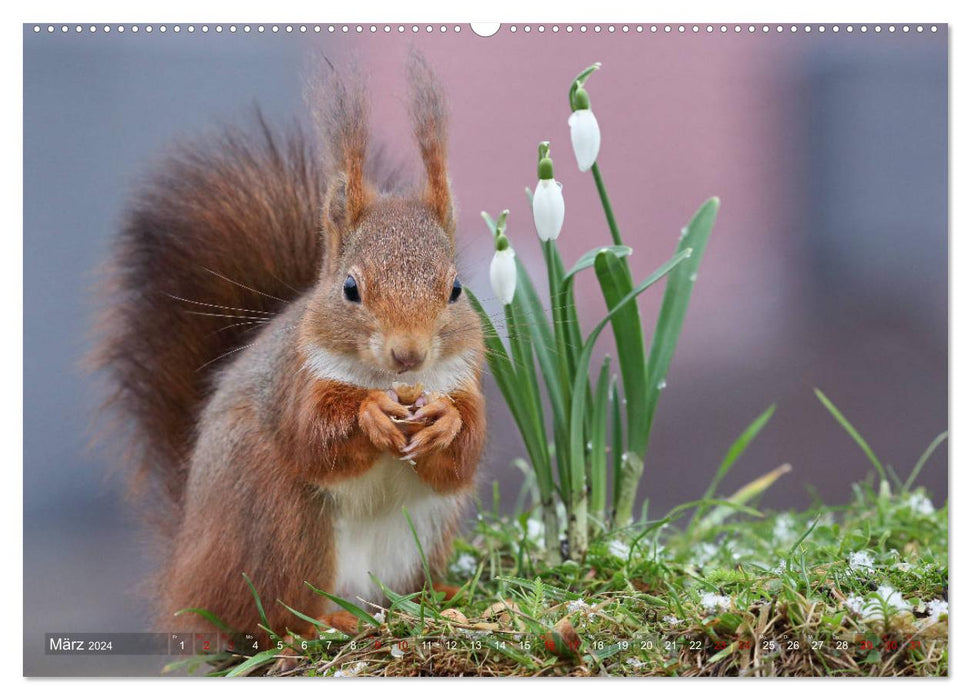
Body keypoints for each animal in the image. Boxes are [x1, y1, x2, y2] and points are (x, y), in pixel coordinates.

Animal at [98, 56, 486, 644]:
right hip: (282, 520)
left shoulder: (464, 378)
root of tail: (189, 572)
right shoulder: (295, 380)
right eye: (350, 288)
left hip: (428, 529)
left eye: (456, 289)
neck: (389, 381)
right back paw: (322, 621)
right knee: (273, 615)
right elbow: (312, 436)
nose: (409, 355)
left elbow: (463, 454)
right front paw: (368, 414)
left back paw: (439, 597)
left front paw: (445, 420)